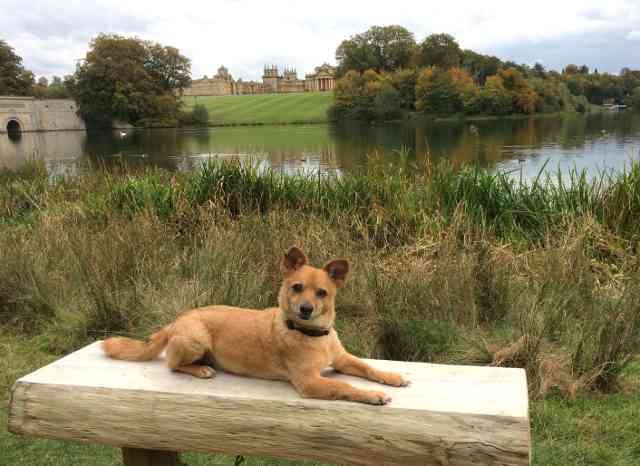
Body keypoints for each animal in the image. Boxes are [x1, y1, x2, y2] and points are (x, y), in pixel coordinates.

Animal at [102, 248, 408, 404]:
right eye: (297, 287)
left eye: (322, 293)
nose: (305, 309)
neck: (311, 335)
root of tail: (178, 319)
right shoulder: (310, 382)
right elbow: (345, 385)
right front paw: (372, 394)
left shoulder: (343, 359)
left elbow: (368, 367)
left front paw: (392, 377)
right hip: (195, 339)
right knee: (172, 364)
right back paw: (200, 369)